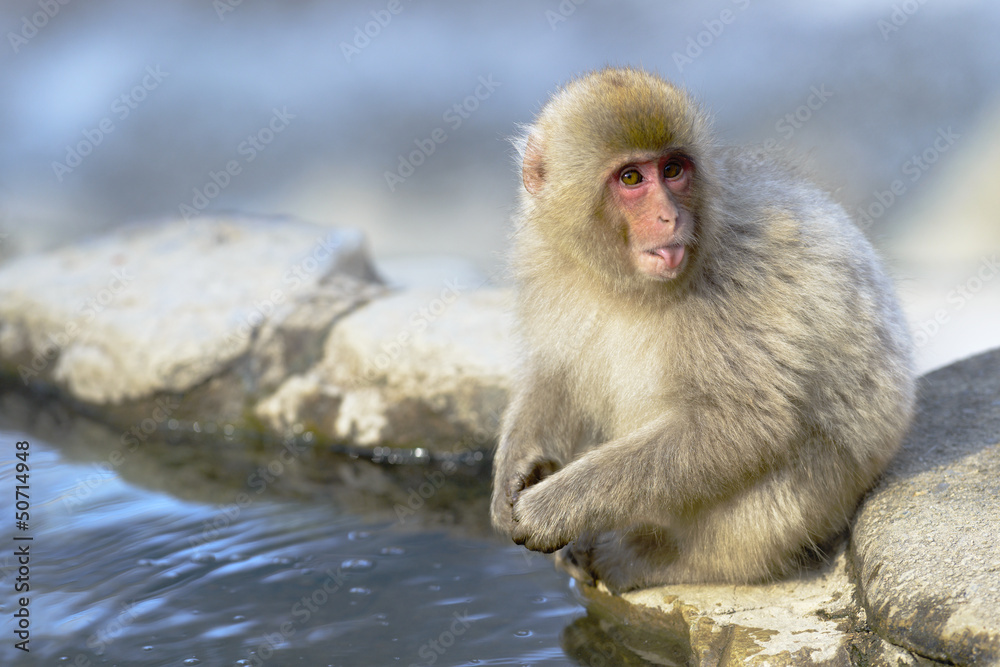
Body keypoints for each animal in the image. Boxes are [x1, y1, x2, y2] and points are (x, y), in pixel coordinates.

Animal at [490, 67, 915, 593]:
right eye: (631, 178)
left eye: (673, 170)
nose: (670, 215)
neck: (625, 286)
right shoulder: (544, 256)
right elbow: (555, 374)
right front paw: (515, 472)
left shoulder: (735, 283)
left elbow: (741, 423)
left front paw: (554, 506)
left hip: (827, 496)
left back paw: (656, 557)